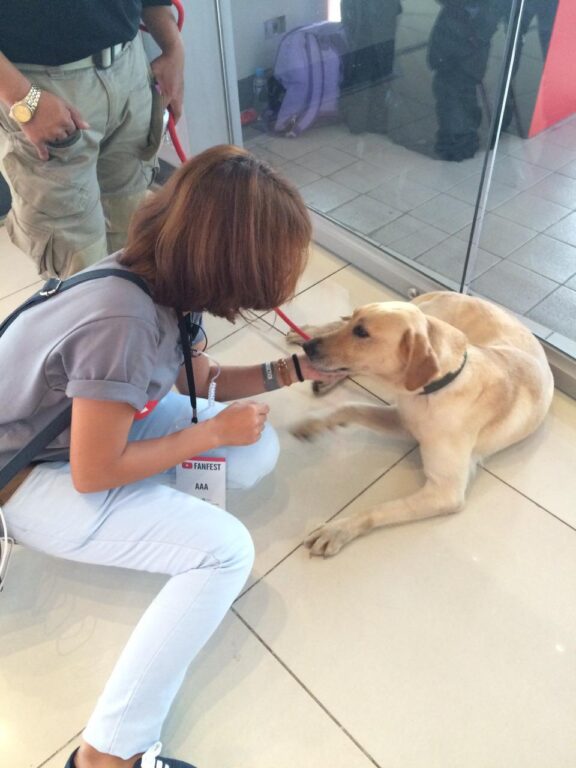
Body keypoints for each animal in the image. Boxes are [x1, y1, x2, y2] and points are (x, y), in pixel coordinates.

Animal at [292, 292, 552, 556]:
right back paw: (308, 333)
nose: (308, 347)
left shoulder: (444, 491)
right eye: (356, 323)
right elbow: (350, 407)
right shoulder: (403, 417)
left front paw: (338, 529)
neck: (437, 387)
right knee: (339, 327)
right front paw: (313, 422)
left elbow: (379, 509)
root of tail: (450, 293)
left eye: (362, 332)